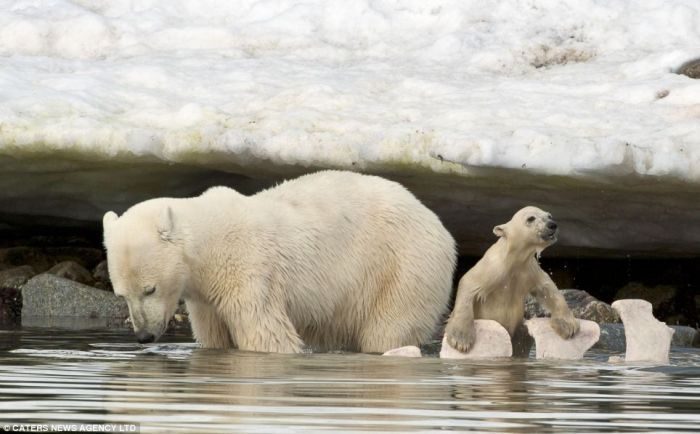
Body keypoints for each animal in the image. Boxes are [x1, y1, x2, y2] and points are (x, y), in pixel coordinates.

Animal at [101, 170, 456, 352]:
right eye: (122, 294)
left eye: (150, 289)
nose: (144, 336)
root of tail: (438, 225)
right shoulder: (203, 298)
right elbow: (213, 338)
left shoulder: (247, 271)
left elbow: (266, 334)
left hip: (402, 266)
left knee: (388, 330)